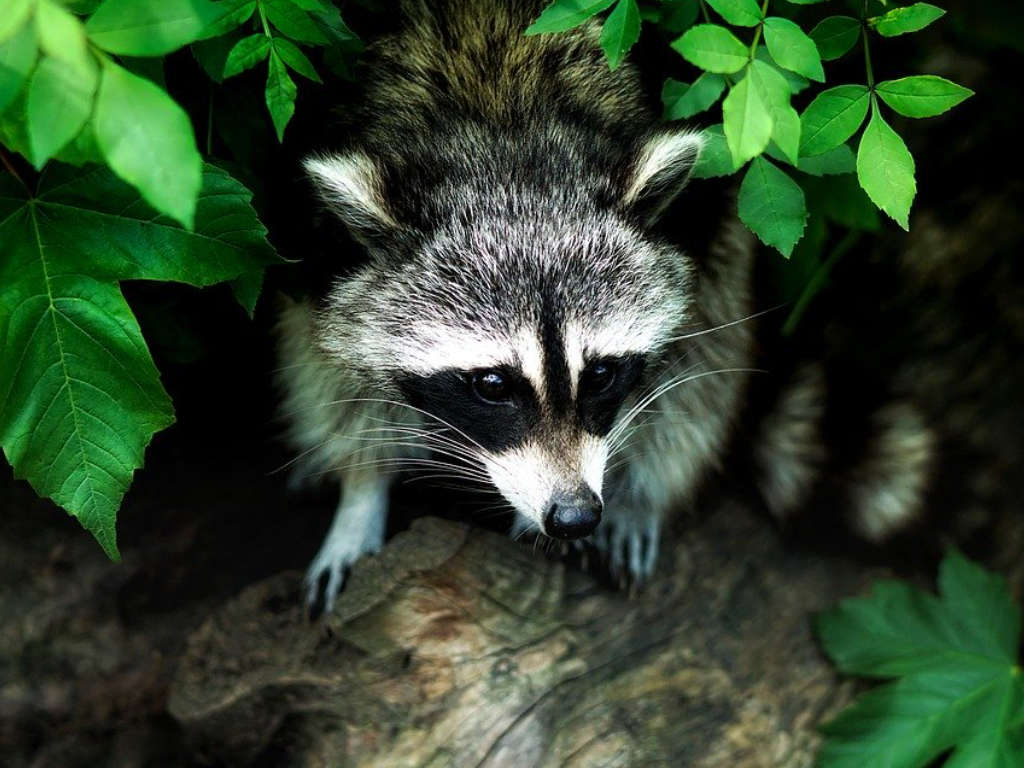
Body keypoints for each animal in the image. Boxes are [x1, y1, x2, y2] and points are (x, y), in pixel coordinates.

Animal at [274, 0, 1015, 618]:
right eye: (492, 385)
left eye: (601, 374)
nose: (574, 515)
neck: (504, 134)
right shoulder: (321, 247)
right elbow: (328, 363)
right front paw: (361, 492)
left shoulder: (696, 219)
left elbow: (697, 353)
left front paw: (636, 490)